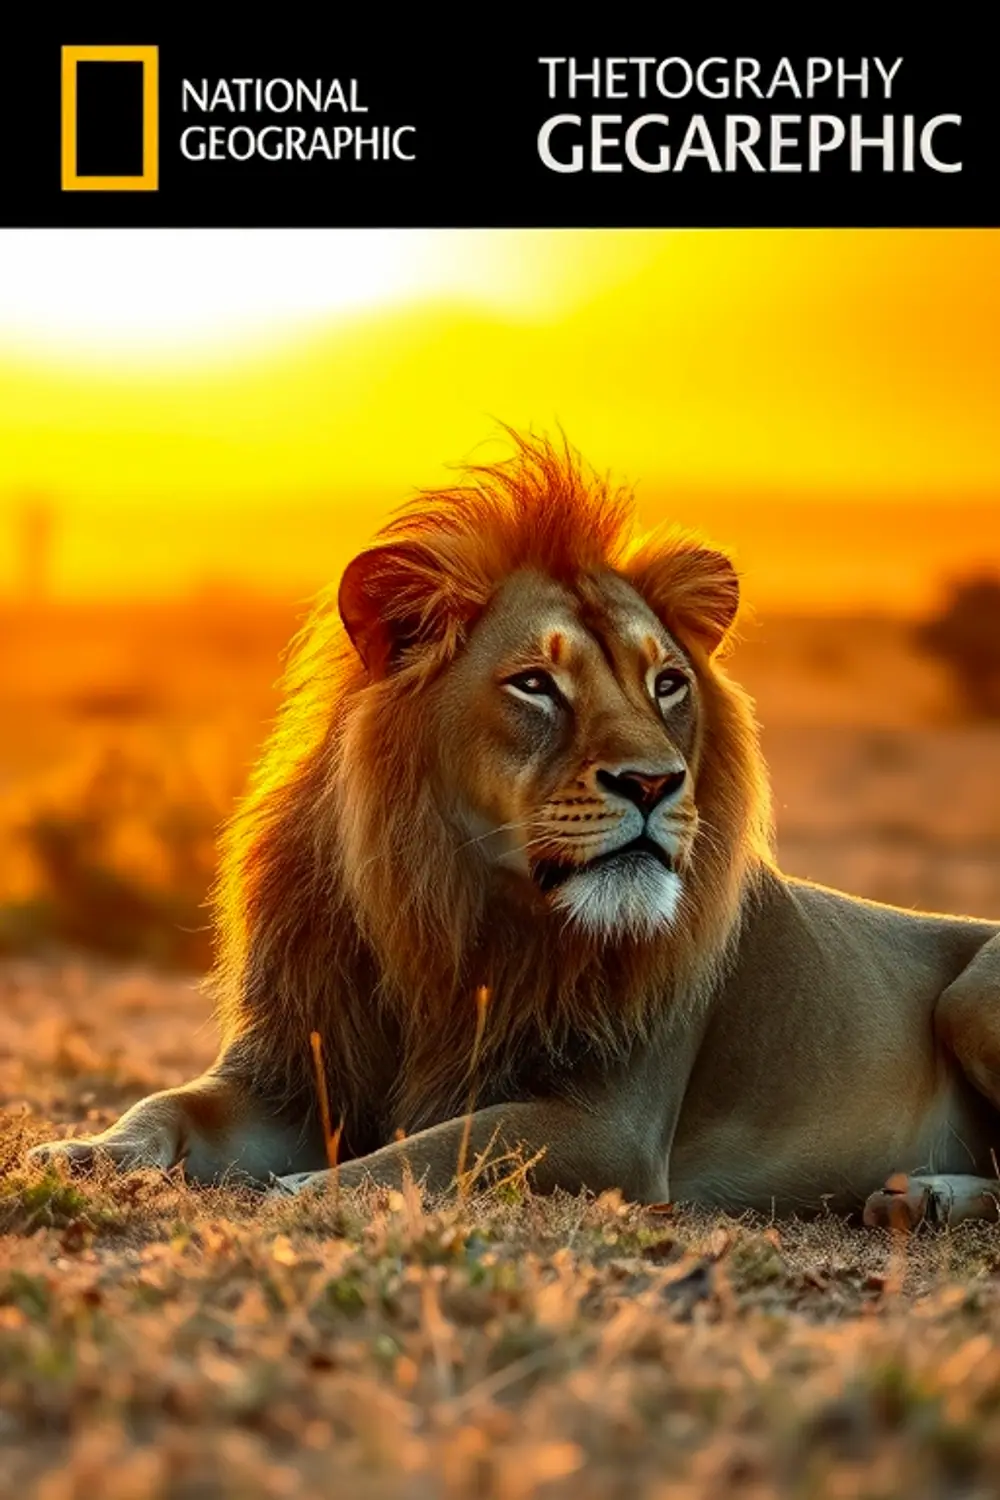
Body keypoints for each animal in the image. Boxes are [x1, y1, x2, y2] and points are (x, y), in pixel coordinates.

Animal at [30, 432, 1000, 1229]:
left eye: (668, 684)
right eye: (535, 684)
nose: (655, 782)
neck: (455, 910)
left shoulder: (609, 1129)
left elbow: (451, 1142)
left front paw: (310, 1189)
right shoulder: (293, 1077)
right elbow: (166, 1105)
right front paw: (80, 1152)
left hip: (971, 995)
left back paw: (928, 1198)